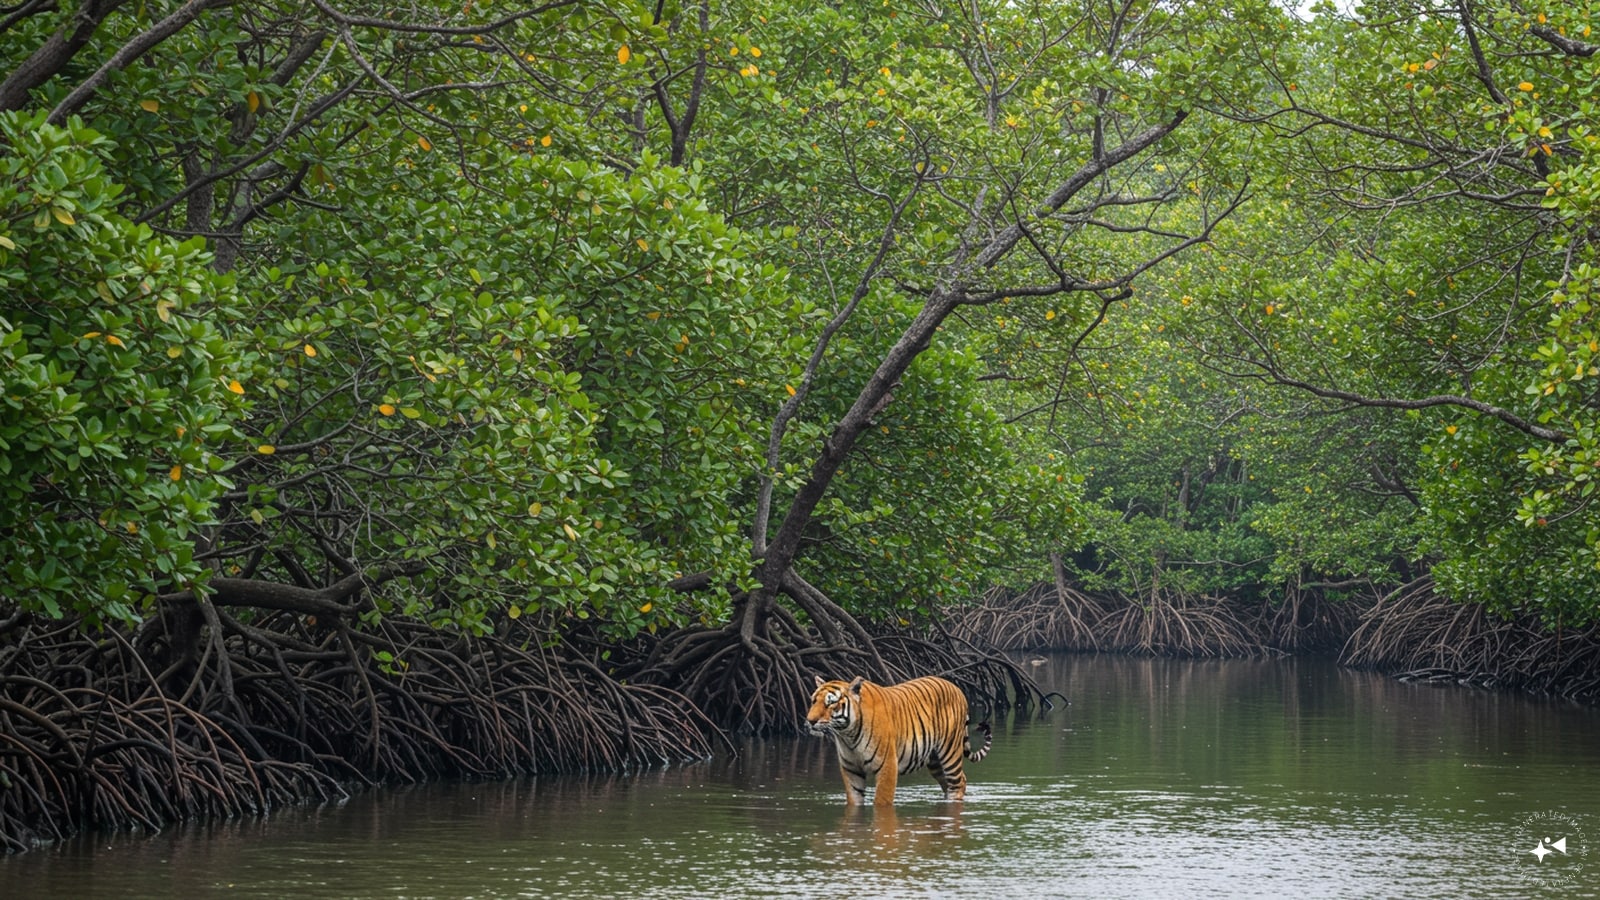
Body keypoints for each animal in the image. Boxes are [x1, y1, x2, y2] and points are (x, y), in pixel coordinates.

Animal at [806, 674, 992, 806]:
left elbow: (881, 802)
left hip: (949, 753)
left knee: (959, 783)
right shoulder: (851, 769)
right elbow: (854, 800)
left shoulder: (887, 766)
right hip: (935, 761)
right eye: (813, 701)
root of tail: (956, 688)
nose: (810, 721)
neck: (847, 735)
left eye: (831, 703)